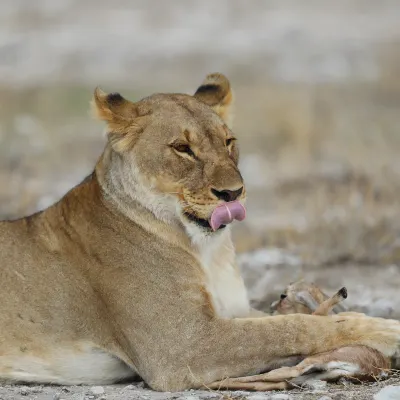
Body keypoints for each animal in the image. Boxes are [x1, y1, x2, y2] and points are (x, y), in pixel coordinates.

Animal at [209, 282, 390, 390]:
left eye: (284, 296)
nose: (271, 307)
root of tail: (373, 369)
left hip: (308, 366)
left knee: (278, 375)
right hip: (317, 374)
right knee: (277, 382)